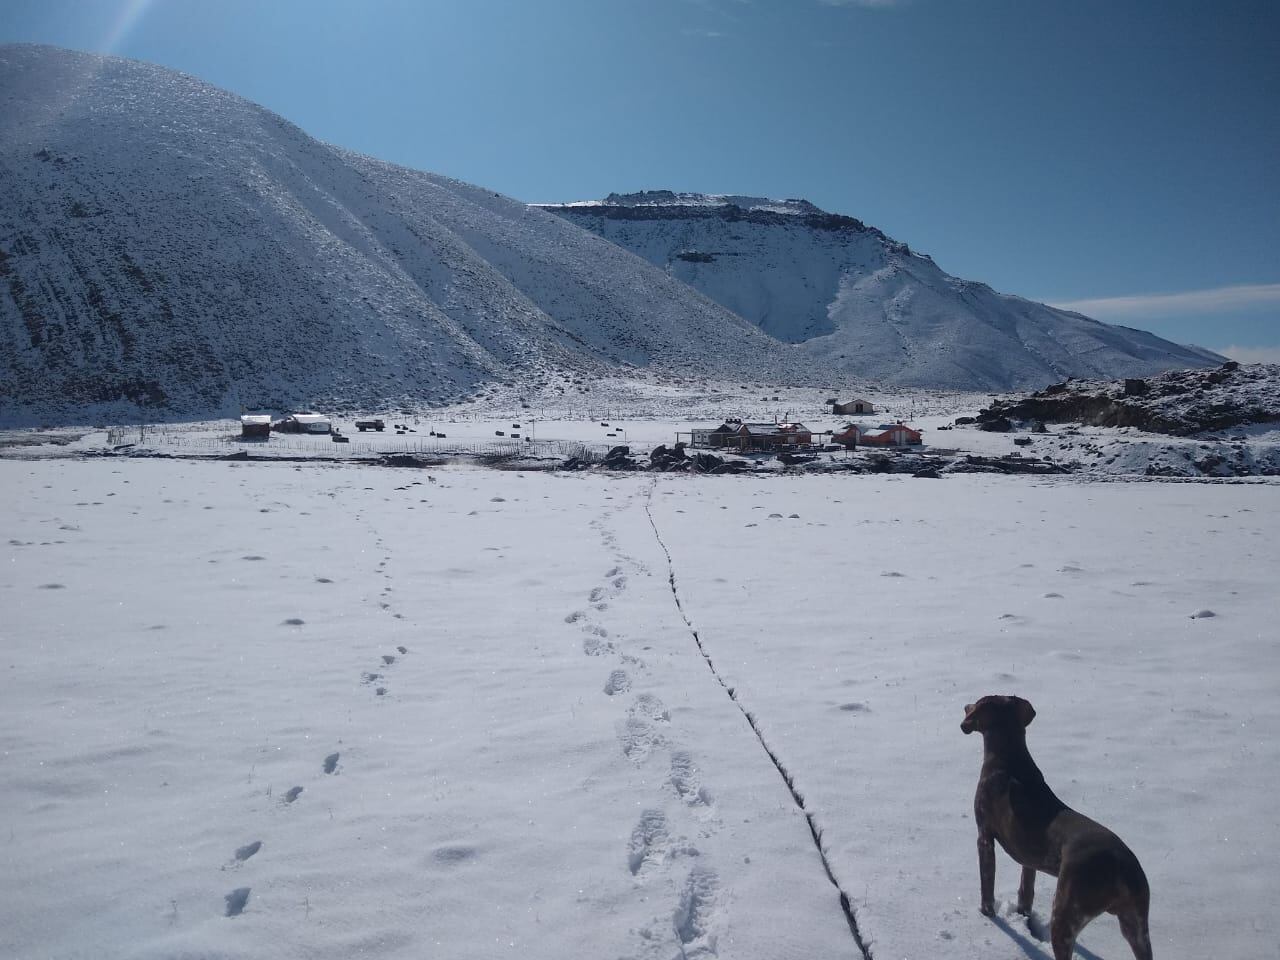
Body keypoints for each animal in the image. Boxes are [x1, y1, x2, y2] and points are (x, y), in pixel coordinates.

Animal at [962, 701, 1162, 960]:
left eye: (974, 706)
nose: (964, 705)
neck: (1009, 761)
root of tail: (1121, 866)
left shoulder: (984, 836)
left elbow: (987, 886)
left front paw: (986, 915)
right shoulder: (1029, 858)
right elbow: (1026, 891)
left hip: (1066, 914)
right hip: (1136, 925)